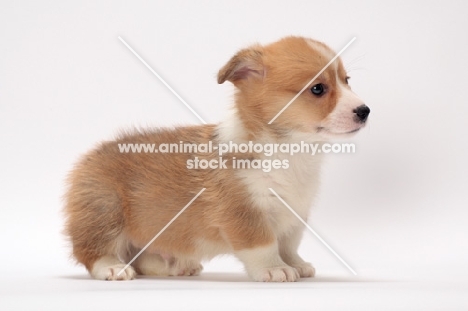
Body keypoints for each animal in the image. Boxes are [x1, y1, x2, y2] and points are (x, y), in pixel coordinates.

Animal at [63, 36, 370, 282]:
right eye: (318, 89)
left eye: (346, 80)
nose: (364, 111)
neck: (290, 151)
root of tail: (87, 157)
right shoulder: (243, 213)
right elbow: (264, 244)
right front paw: (275, 269)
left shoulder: (295, 214)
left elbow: (288, 244)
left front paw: (297, 264)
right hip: (105, 209)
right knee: (93, 250)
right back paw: (113, 268)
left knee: (141, 258)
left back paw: (174, 265)